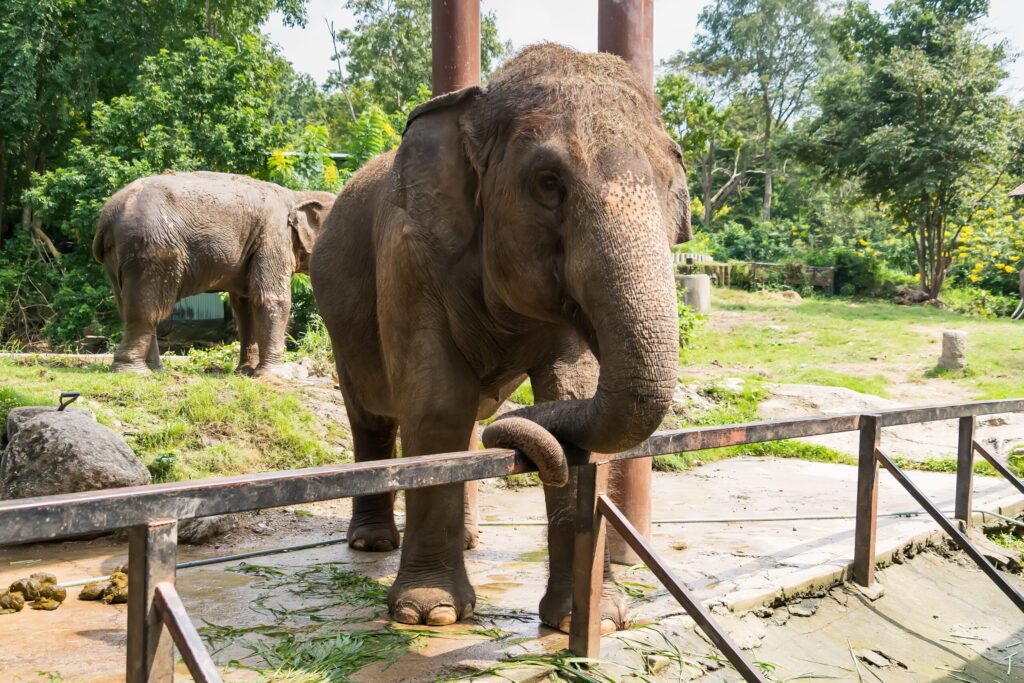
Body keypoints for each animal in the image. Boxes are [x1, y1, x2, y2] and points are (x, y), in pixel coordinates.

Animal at [93, 171, 334, 375]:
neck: (298, 196)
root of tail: (107, 217)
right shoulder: (273, 235)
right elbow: (270, 298)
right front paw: (274, 375)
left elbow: (245, 305)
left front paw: (245, 372)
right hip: (151, 251)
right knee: (147, 310)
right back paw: (133, 372)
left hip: (118, 258)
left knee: (128, 306)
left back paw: (156, 370)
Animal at [311, 44, 689, 631]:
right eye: (548, 182)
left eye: (675, 184)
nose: (510, 433)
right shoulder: (407, 254)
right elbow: (436, 404)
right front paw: (431, 615)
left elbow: (570, 393)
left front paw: (595, 620)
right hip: (340, 323)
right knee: (373, 415)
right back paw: (372, 544)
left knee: (465, 417)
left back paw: (468, 538)